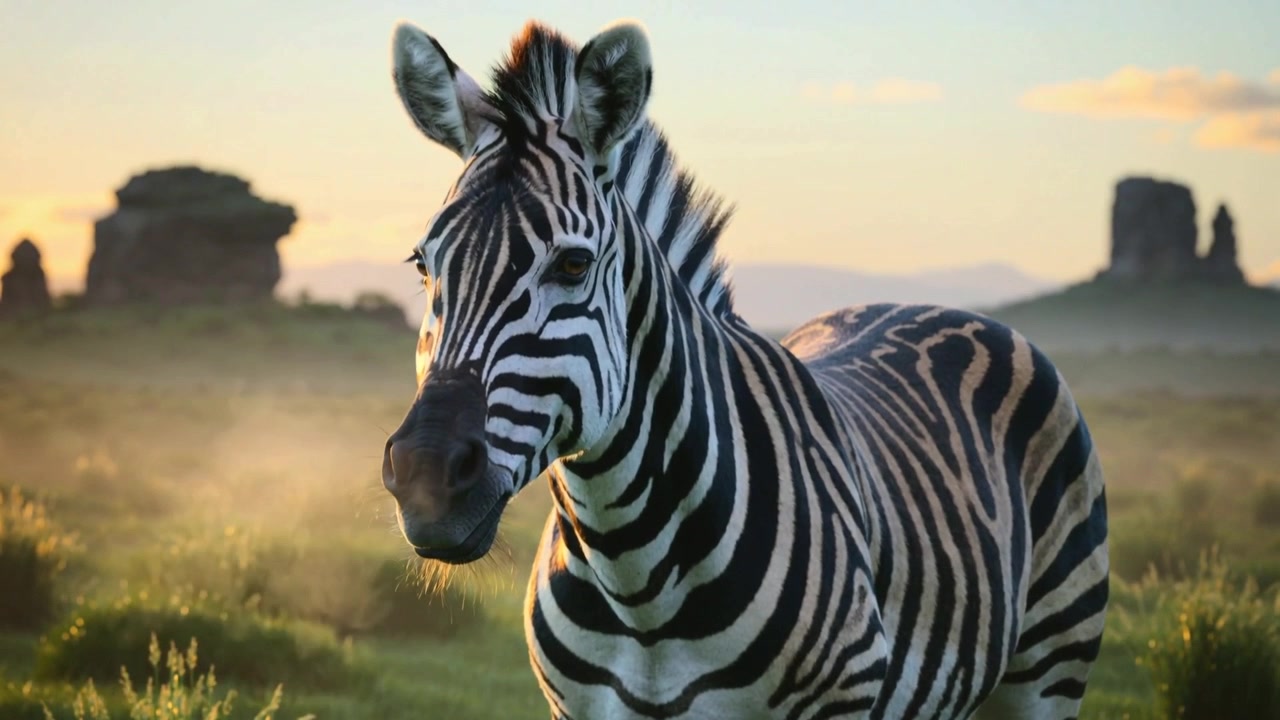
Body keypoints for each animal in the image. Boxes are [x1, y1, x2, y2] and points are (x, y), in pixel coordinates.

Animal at [380, 17, 1109, 720]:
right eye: (423, 265)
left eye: (573, 265)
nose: (424, 479)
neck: (636, 579)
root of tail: (933, 304)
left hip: (1051, 662)